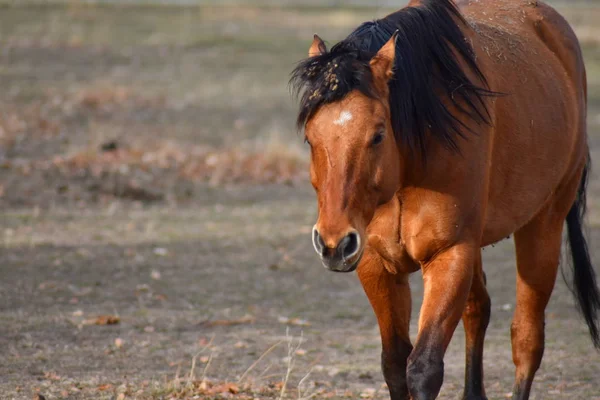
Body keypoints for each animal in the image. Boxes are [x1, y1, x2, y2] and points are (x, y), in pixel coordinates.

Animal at [292, 0, 600, 400]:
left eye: (378, 135)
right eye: (310, 138)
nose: (333, 243)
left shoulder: (449, 255)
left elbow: (423, 367)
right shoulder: (376, 263)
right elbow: (394, 363)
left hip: (543, 226)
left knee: (527, 340)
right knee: (478, 310)